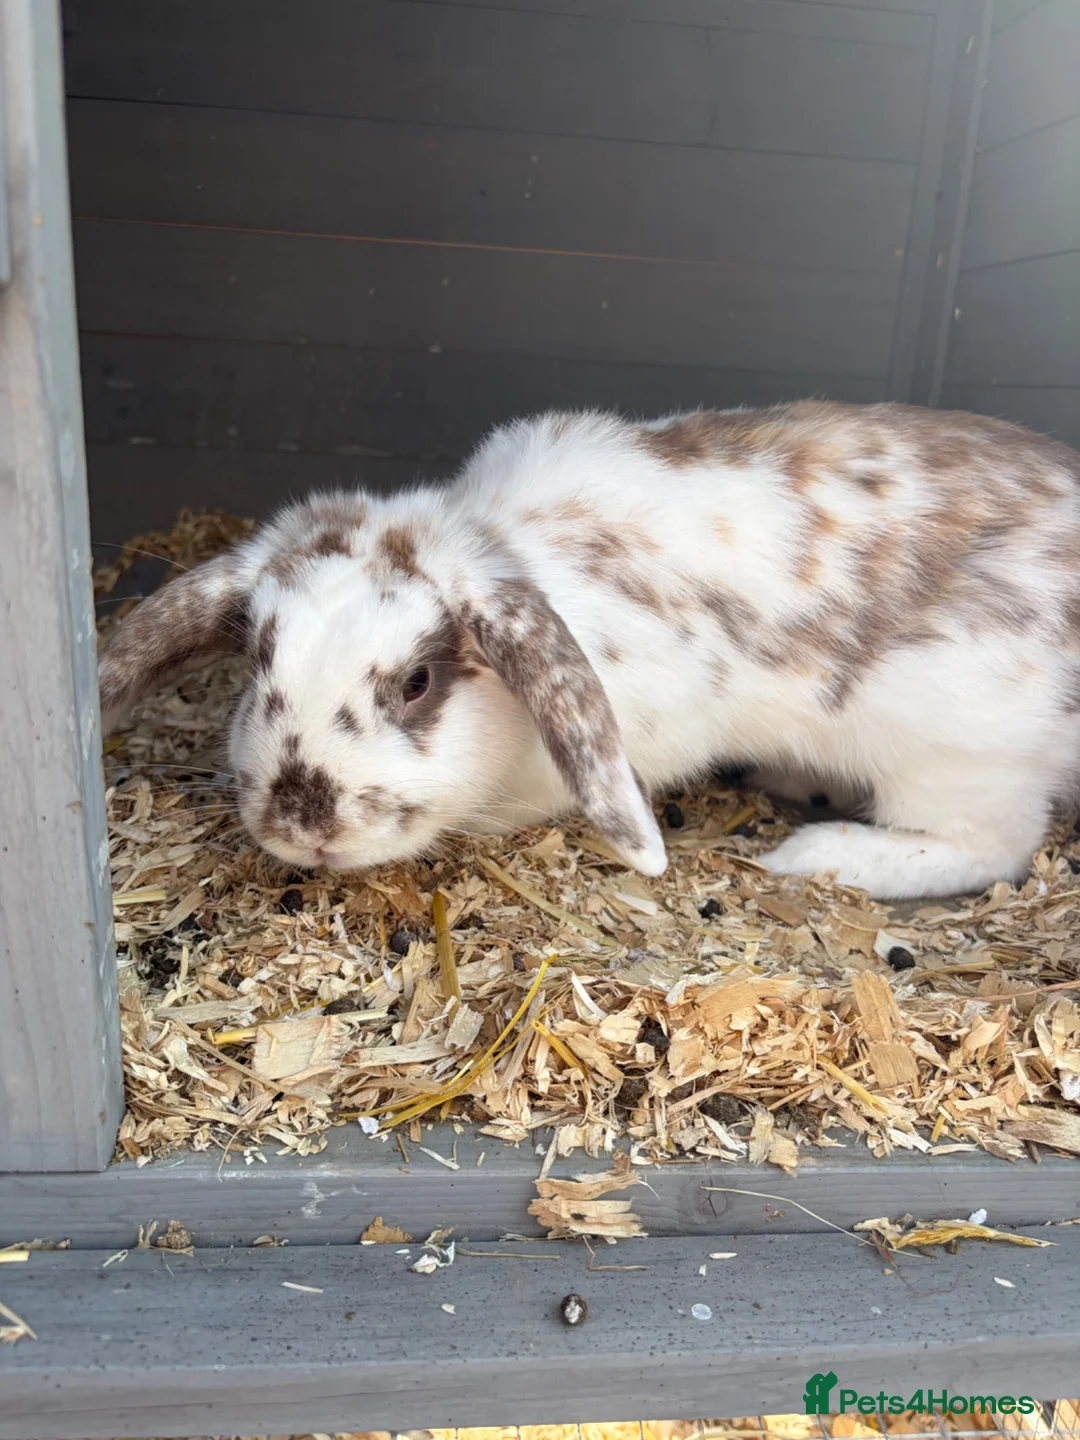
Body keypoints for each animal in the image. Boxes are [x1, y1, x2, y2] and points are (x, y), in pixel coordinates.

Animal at [97, 400, 1080, 901]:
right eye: (259, 662)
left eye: (417, 681)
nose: (304, 827)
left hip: (955, 751)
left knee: (989, 846)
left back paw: (815, 855)